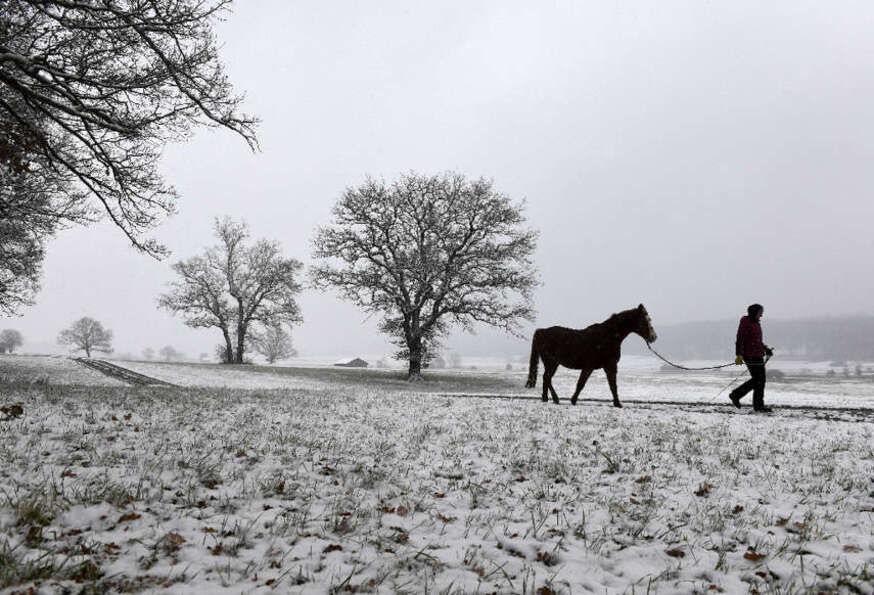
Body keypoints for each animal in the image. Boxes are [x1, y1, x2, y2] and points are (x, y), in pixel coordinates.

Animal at [524, 304, 656, 408]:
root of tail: (542, 331)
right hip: (551, 363)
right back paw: (555, 399)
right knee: (547, 378)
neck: (608, 337)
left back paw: (546, 398)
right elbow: (582, 384)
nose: (654, 337)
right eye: (646, 320)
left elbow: (612, 385)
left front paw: (617, 403)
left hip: (552, 363)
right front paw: (573, 400)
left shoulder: (608, 367)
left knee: (546, 378)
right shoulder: (594, 367)